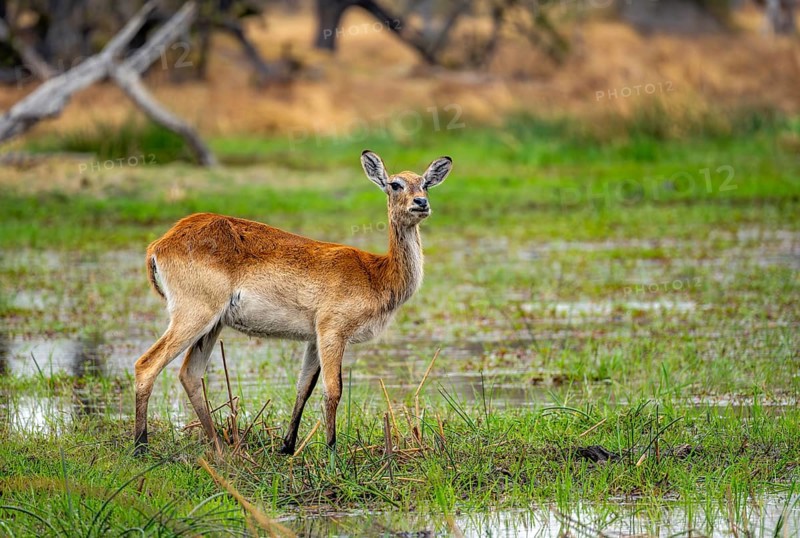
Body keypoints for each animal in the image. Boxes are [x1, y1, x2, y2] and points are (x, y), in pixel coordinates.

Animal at [133, 150, 452, 456]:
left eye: (424, 183)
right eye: (395, 184)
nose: (421, 203)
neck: (377, 273)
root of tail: (160, 243)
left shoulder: (313, 338)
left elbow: (304, 388)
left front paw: (287, 446)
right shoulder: (332, 332)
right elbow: (333, 390)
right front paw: (332, 453)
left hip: (212, 326)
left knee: (190, 375)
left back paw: (221, 450)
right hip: (194, 316)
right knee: (146, 365)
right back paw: (140, 448)